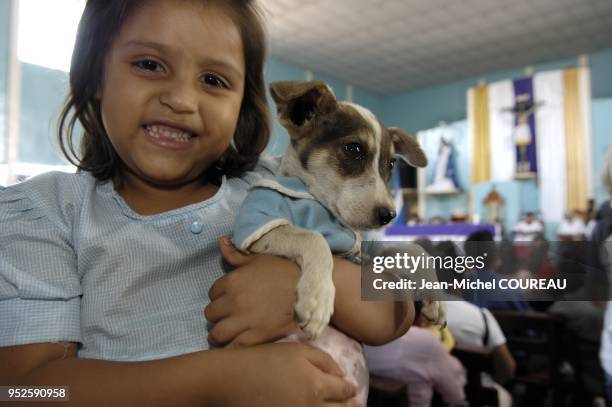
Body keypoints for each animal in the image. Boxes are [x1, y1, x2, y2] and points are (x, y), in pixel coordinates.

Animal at [232, 81, 438, 406]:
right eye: (354, 149)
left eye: (391, 163)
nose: (389, 215)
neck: (325, 207)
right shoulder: (257, 227)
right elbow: (314, 237)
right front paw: (317, 298)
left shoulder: (368, 249)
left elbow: (416, 249)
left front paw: (435, 299)